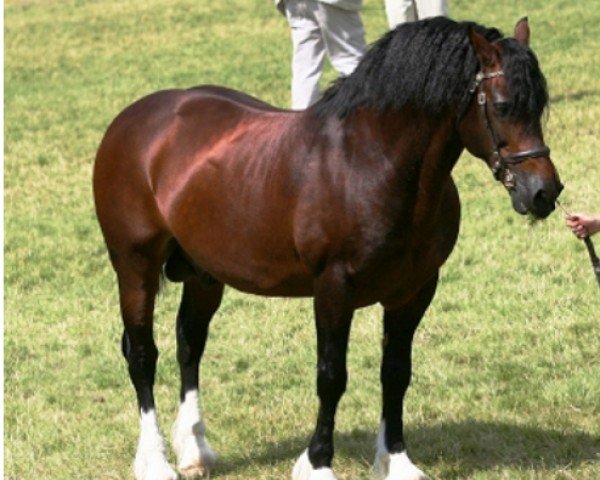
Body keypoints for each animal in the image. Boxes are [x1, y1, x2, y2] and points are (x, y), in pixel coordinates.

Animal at [94, 16, 564, 478]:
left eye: (540, 104)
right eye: (502, 106)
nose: (544, 192)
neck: (372, 162)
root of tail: (133, 119)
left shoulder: (414, 291)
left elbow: (396, 373)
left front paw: (396, 460)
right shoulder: (334, 288)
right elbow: (331, 376)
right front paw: (317, 461)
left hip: (204, 273)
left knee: (190, 344)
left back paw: (194, 451)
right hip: (134, 266)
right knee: (142, 354)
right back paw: (156, 462)